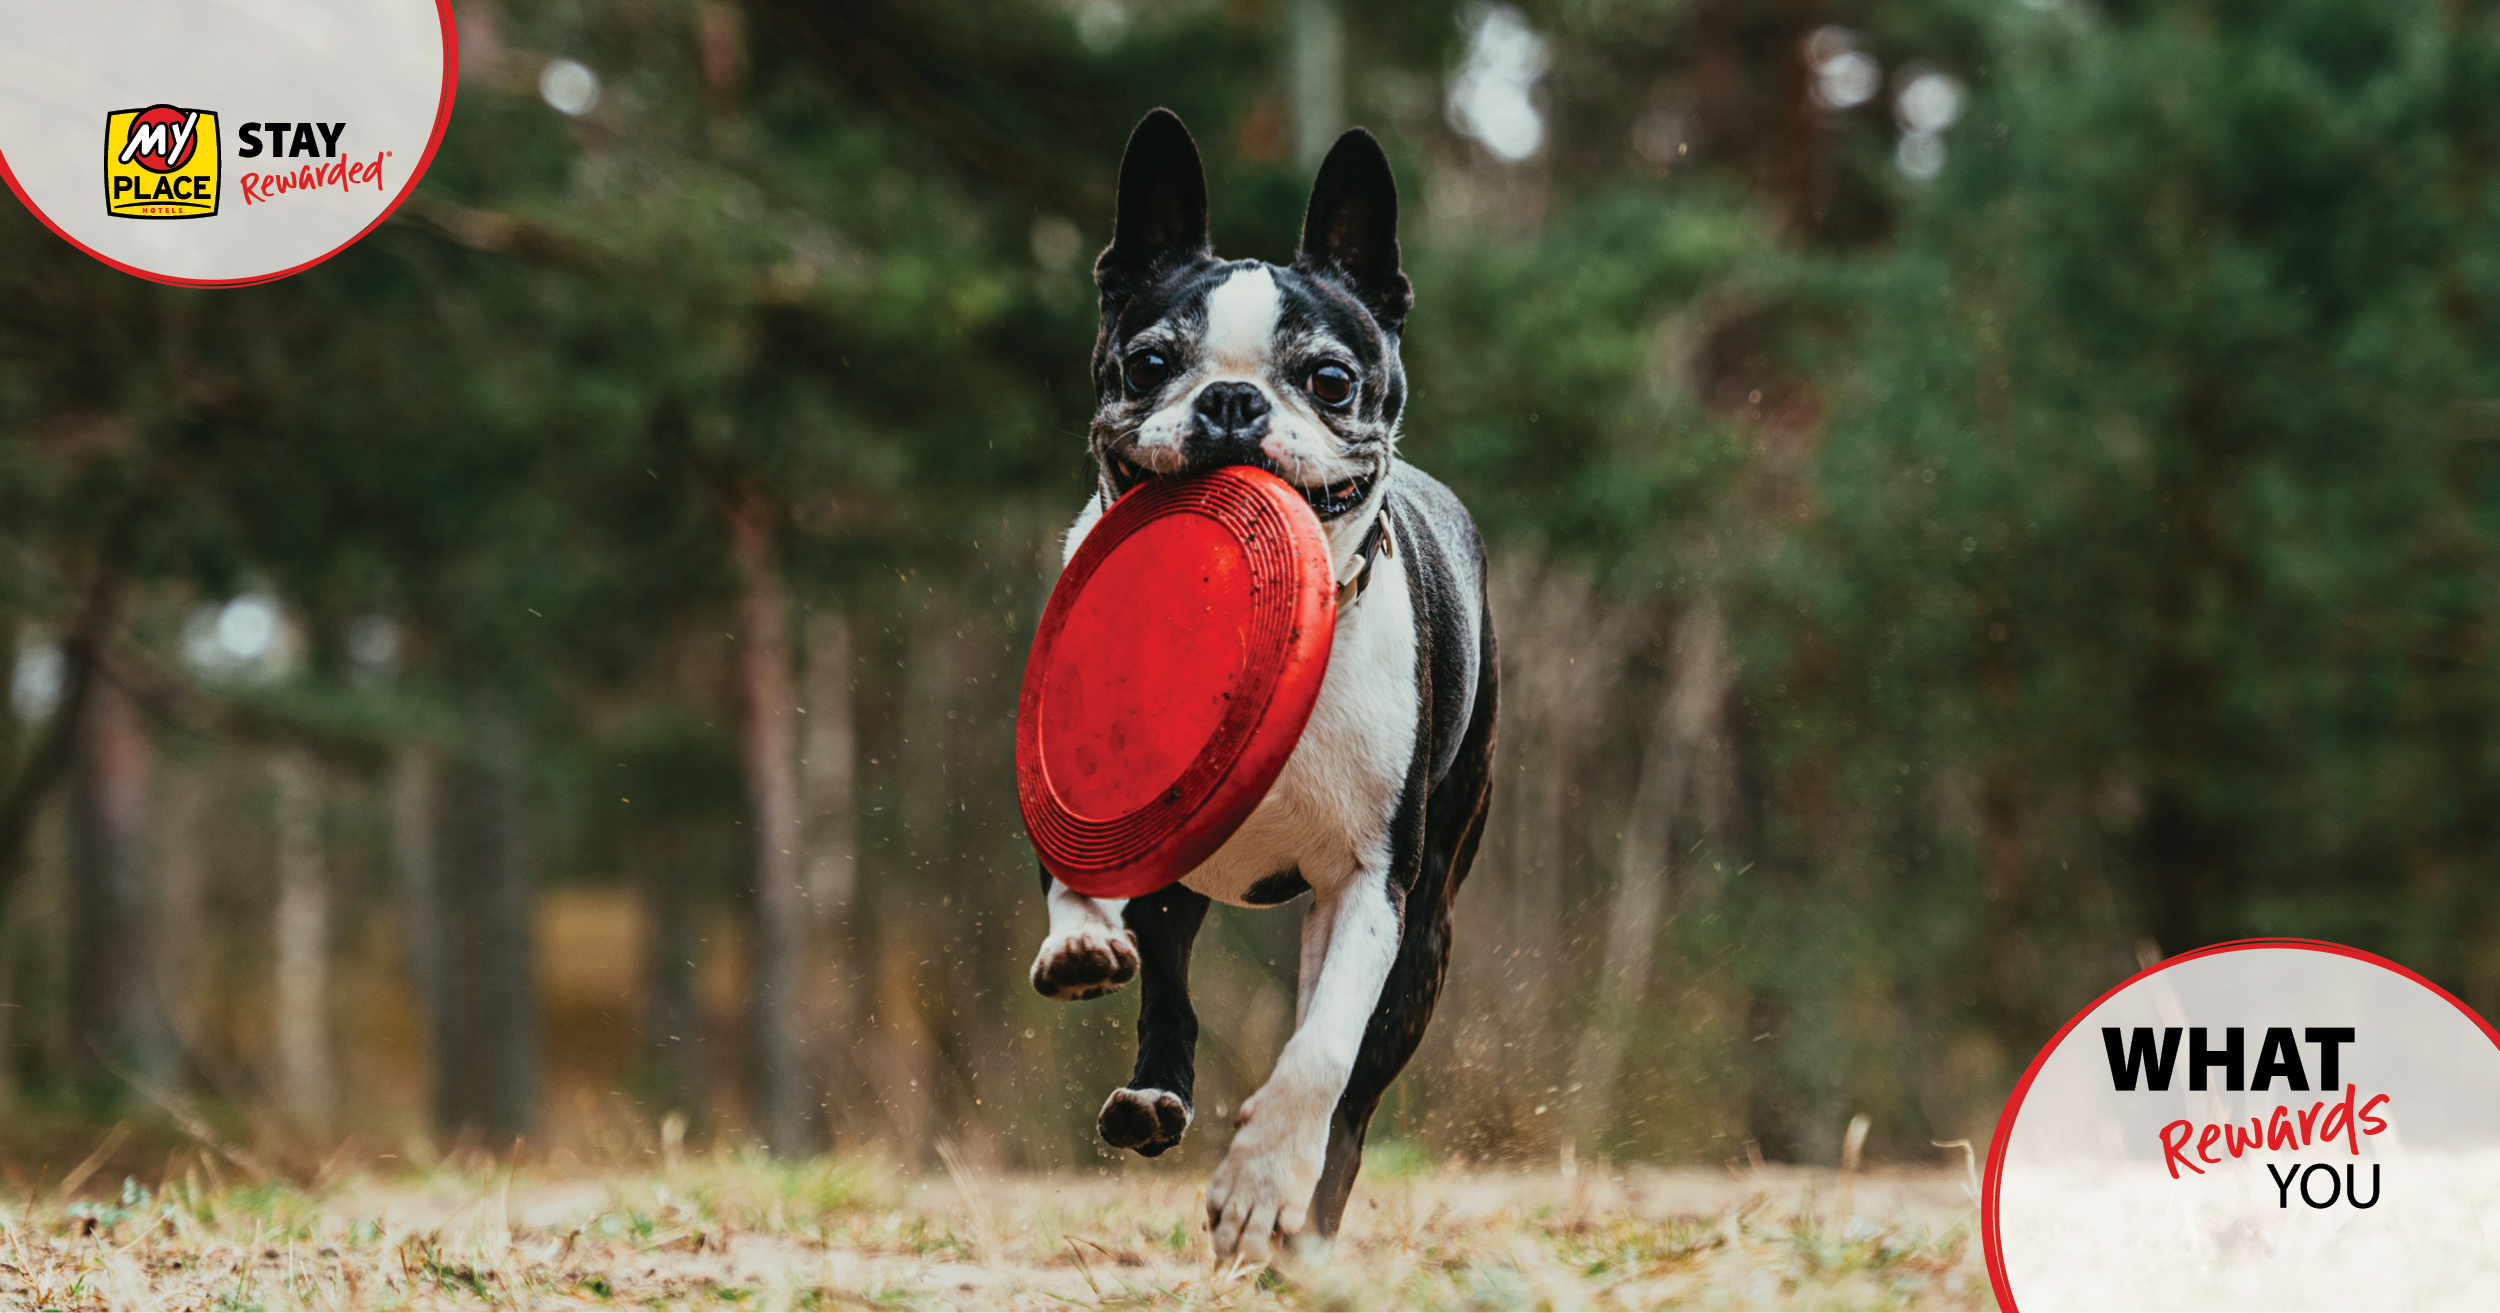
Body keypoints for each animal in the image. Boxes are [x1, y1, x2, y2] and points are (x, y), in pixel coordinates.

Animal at [1025, 110, 1490, 1260]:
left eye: (1328, 381)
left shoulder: (1374, 884)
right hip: (1183, 877)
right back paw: (1150, 1095)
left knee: (1354, 1091)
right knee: (1170, 986)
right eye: (1149, 362)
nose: (1231, 400)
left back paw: (1305, 1223)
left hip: (1427, 934)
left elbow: (1320, 1050)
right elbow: (1073, 870)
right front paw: (1079, 936)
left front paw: (1260, 1182)